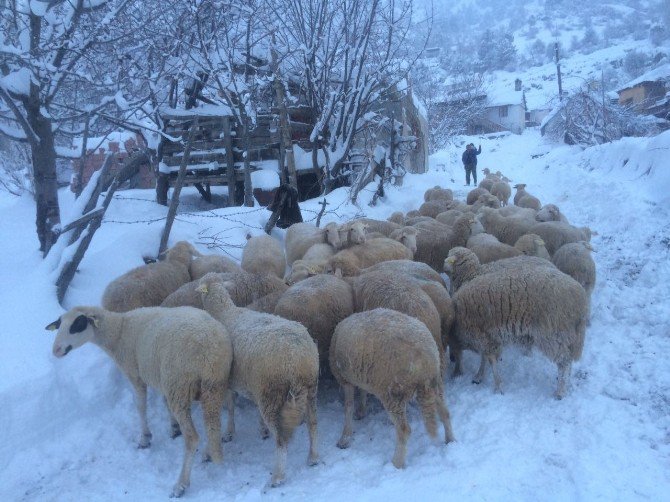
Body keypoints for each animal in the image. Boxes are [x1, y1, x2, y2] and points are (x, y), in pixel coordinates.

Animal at [46, 304, 232, 496]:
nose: (56, 350)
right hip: (215, 383)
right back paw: (213, 448)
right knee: (220, 414)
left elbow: (140, 406)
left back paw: (181, 484)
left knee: (193, 438)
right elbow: (165, 403)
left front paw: (145, 438)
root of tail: (211, 349)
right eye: (59, 325)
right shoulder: (161, 379)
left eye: (78, 324)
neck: (119, 330)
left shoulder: (136, 375)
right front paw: (173, 427)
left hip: (179, 384)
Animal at [197, 274, 320, 486]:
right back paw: (313, 458)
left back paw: (277, 477)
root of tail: (299, 359)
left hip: (272, 394)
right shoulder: (250, 384)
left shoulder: (227, 381)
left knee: (281, 439)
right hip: (309, 389)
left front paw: (228, 433)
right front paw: (259, 429)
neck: (225, 313)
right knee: (313, 424)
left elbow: (230, 407)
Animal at [330, 308, 456, 468]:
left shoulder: (345, 380)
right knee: (445, 413)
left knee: (404, 430)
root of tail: (425, 359)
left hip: (393, 392)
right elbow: (363, 392)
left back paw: (396, 463)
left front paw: (344, 438)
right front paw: (361, 411)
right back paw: (450, 440)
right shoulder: (362, 374)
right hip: (435, 382)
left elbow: (348, 407)